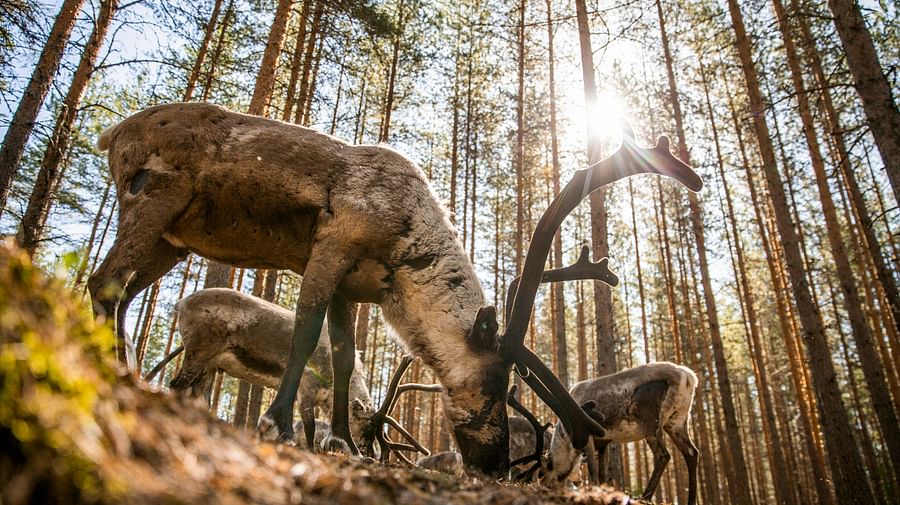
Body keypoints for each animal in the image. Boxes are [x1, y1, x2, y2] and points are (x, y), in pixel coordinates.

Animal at [169, 286, 372, 446]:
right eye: (364, 425)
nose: (370, 453)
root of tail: (180, 303)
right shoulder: (306, 389)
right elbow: (310, 427)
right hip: (198, 351)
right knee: (177, 384)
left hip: (209, 365)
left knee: (200, 394)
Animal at [540, 360, 696, 502]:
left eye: (546, 468)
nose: (544, 486)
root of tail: (688, 376)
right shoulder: (603, 442)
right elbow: (602, 473)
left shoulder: (588, 436)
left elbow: (592, 470)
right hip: (677, 421)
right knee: (691, 452)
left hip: (651, 423)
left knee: (663, 455)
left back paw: (644, 497)